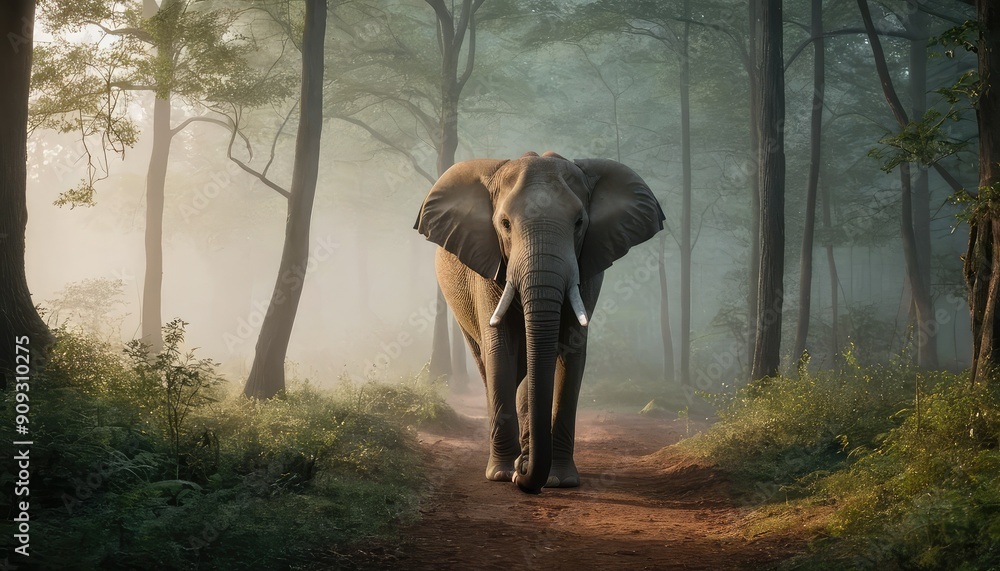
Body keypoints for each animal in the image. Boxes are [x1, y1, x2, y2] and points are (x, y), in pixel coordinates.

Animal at [414, 151, 664, 494]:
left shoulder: (586, 267)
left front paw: (561, 480)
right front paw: (503, 474)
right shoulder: (489, 263)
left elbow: (571, 350)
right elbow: (501, 349)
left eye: (579, 223)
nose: (523, 478)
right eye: (505, 224)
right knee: (487, 363)